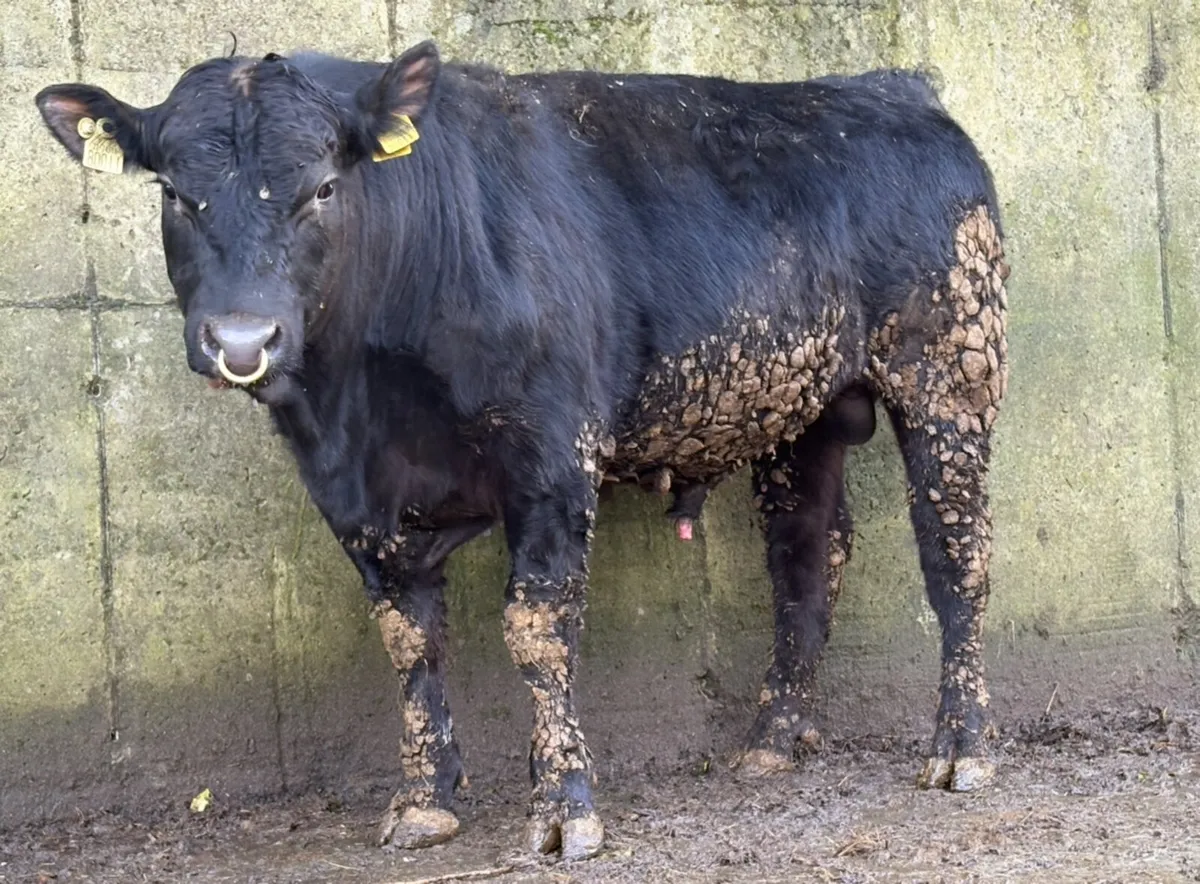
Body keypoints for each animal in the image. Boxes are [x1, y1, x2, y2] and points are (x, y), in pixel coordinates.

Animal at [36, 42, 1009, 861]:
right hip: (799, 411)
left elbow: (536, 629)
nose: (243, 340)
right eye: (174, 192)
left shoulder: (550, 454)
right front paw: (424, 800)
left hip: (951, 375)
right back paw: (774, 740)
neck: (367, 393)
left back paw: (962, 746)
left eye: (321, 189)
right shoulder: (354, 494)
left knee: (955, 554)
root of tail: (890, 87)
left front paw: (564, 808)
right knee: (807, 559)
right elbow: (408, 639)